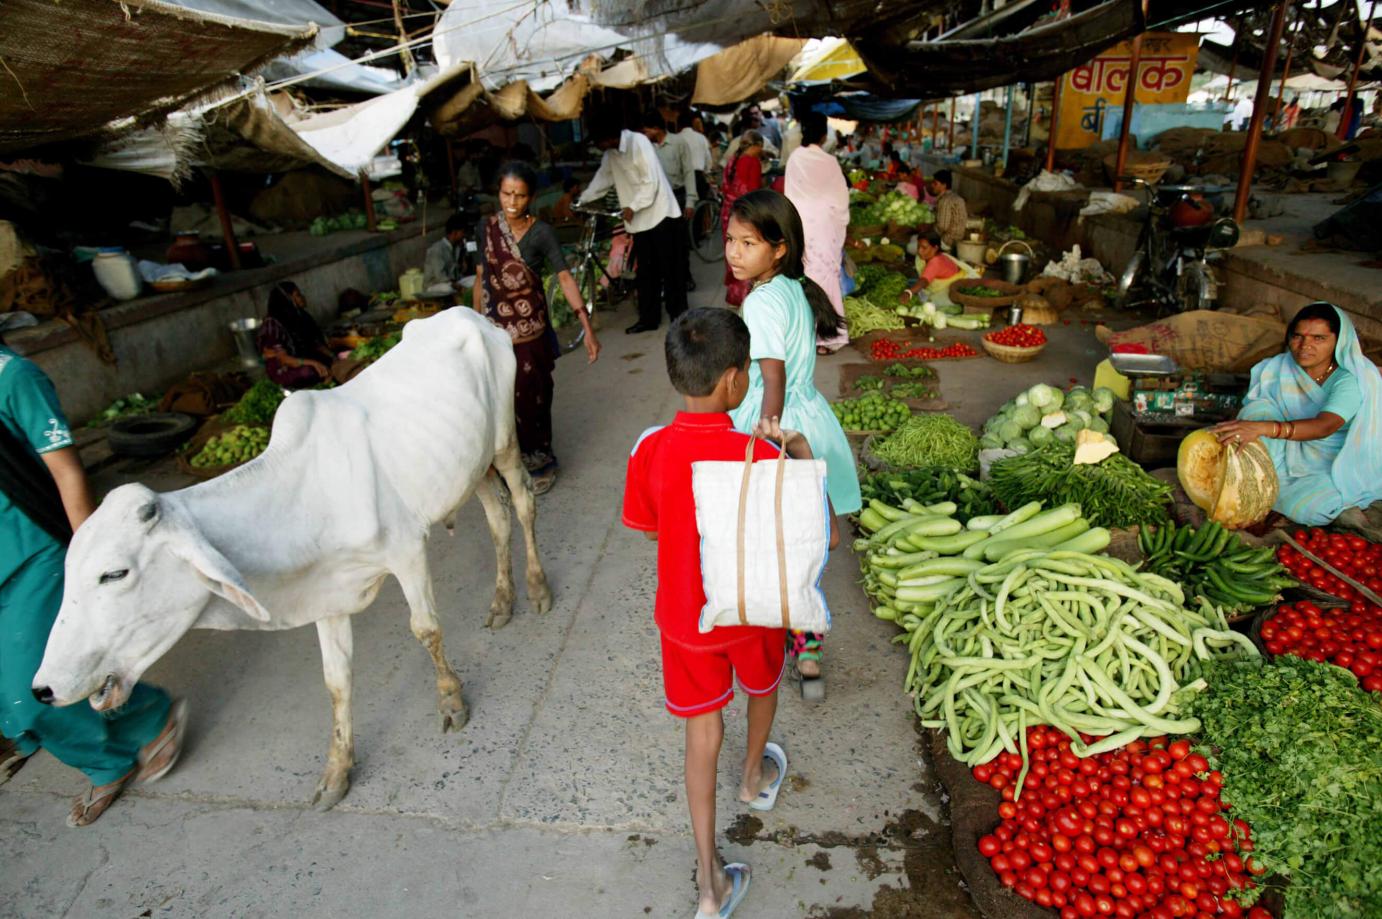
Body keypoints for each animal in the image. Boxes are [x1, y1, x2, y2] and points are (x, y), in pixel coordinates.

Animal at [32, 306, 550, 801]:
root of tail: (472, 315)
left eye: (114, 573)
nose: (42, 689)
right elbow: (335, 679)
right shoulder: (326, 593)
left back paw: (537, 589)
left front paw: (451, 701)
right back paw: (502, 601)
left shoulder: (407, 553)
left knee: (523, 502)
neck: (303, 496)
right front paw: (336, 772)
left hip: (504, 441)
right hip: (469, 467)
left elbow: (426, 630)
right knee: (497, 515)